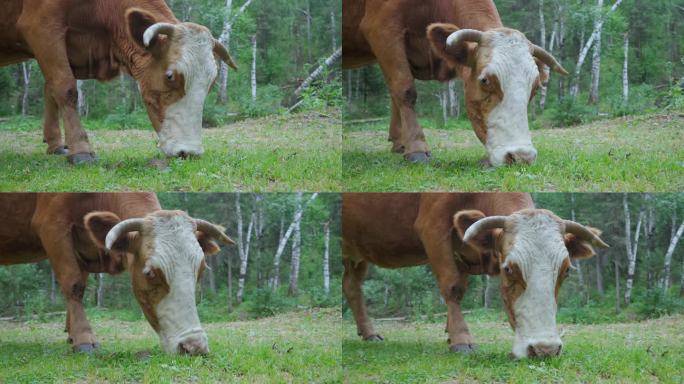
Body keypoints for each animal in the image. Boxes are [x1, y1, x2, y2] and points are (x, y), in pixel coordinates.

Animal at [0, 0, 239, 164]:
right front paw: (81, 149)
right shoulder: (42, 27)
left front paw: (55, 145)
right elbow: (65, 88)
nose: (189, 152)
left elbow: (50, 89)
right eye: (170, 76)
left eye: (212, 82)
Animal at [0, 194, 235, 356]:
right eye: (149, 273)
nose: (194, 347)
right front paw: (84, 338)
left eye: (201, 269)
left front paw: (72, 333)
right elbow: (74, 284)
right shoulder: (52, 226)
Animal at [342, 194, 608, 358]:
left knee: (351, 285)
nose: (545, 350)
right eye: (508, 269)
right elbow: (453, 287)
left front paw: (450, 332)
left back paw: (368, 332)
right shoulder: (432, 229)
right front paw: (461, 338)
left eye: (567, 270)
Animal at [344, 0, 568, 166]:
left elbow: (395, 91)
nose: (522, 156)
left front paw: (401, 143)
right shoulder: (381, 29)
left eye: (535, 87)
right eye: (485, 80)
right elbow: (404, 88)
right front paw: (416, 148)